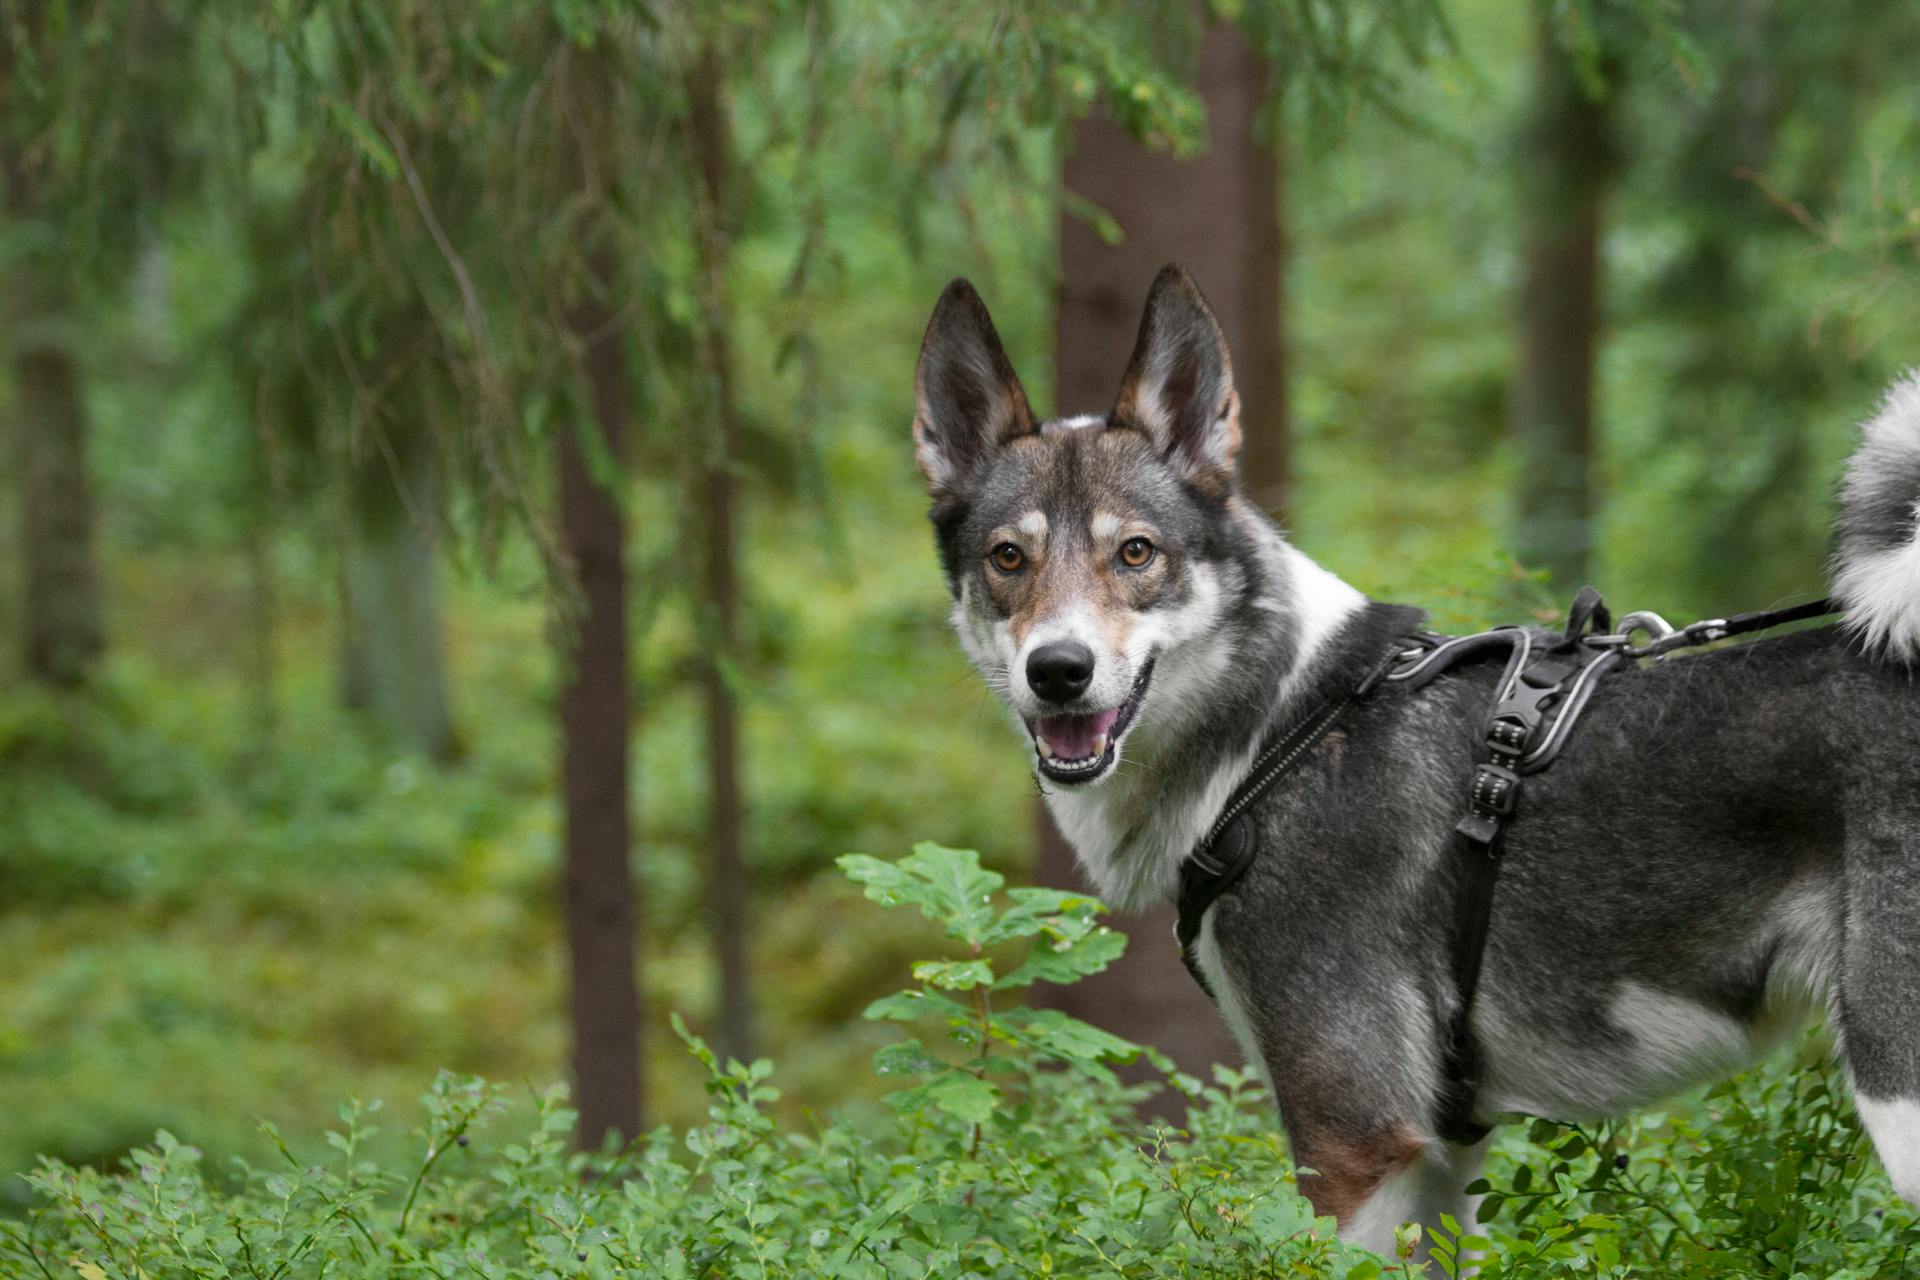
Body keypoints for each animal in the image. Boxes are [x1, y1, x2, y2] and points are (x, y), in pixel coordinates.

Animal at [910, 262, 1920, 1258]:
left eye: (1135, 552)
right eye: (1008, 558)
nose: (1059, 671)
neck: (1277, 731)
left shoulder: (1352, 1147)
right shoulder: (1443, 1158)